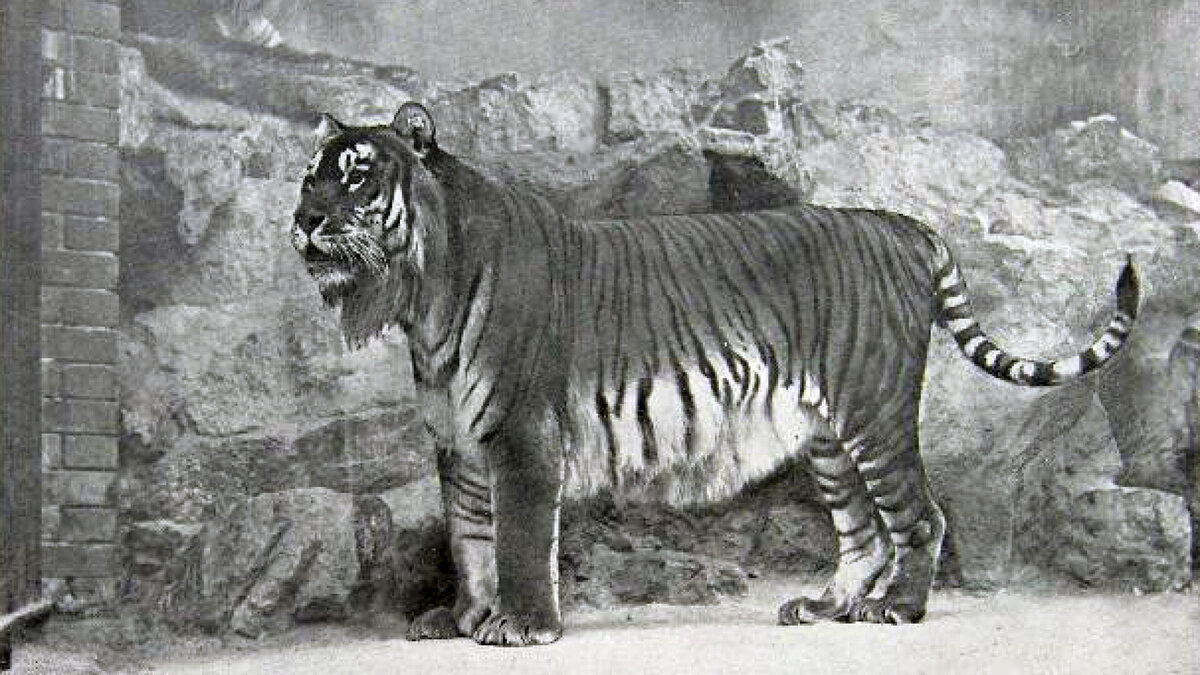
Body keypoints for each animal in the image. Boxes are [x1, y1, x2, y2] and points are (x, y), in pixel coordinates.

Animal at [290, 101, 1140, 646]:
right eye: (309, 177)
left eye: (358, 175)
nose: (303, 220)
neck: (422, 295)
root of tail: (903, 225)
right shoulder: (458, 441)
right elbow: (469, 537)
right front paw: (463, 618)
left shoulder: (520, 436)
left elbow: (520, 538)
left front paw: (522, 627)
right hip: (829, 436)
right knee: (862, 530)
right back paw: (824, 606)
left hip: (874, 411)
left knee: (920, 517)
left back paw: (896, 608)